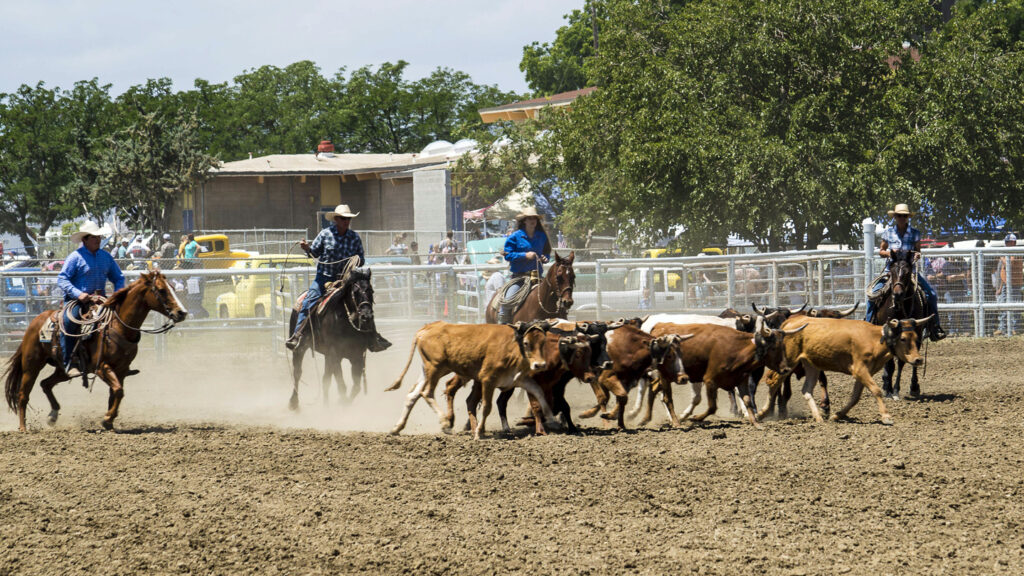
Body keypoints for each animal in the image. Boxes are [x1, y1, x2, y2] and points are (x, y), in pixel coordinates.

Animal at [3, 270, 186, 428]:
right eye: (162, 290)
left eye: (173, 287)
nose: (181, 313)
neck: (118, 326)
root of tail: (35, 321)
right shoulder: (102, 367)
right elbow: (118, 390)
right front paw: (107, 418)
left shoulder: (121, 370)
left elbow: (115, 393)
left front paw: (109, 421)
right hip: (31, 365)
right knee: (23, 395)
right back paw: (23, 428)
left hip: (63, 369)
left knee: (45, 384)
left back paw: (53, 415)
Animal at [288, 268, 380, 407]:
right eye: (355, 292)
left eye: (371, 291)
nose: (366, 316)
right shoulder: (335, 354)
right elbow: (342, 386)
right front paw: (342, 403)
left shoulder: (357, 356)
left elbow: (356, 387)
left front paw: (343, 403)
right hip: (301, 348)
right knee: (297, 372)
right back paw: (294, 403)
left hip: (328, 355)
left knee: (325, 379)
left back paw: (326, 406)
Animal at [872, 249, 929, 397]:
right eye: (892, 271)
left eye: (908, 273)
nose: (897, 294)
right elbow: (890, 363)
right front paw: (888, 390)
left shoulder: (915, 334)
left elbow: (904, 361)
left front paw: (902, 388)